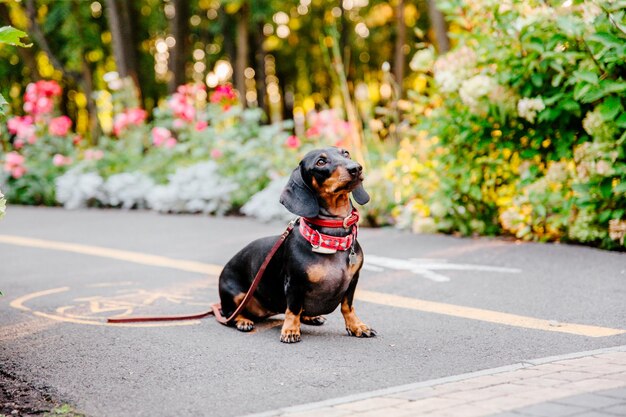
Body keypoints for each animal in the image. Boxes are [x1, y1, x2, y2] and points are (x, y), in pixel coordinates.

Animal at [218, 146, 376, 342]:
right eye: (320, 162)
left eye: (345, 153)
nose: (356, 168)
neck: (331, 238)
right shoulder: (294, 283)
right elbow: (293, 309)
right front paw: (290, 330)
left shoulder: (353, 280)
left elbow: (348, 306)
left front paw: (356, 326)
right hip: (235, 294)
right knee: (230, 314)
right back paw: (243, 321)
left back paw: (311, 317)